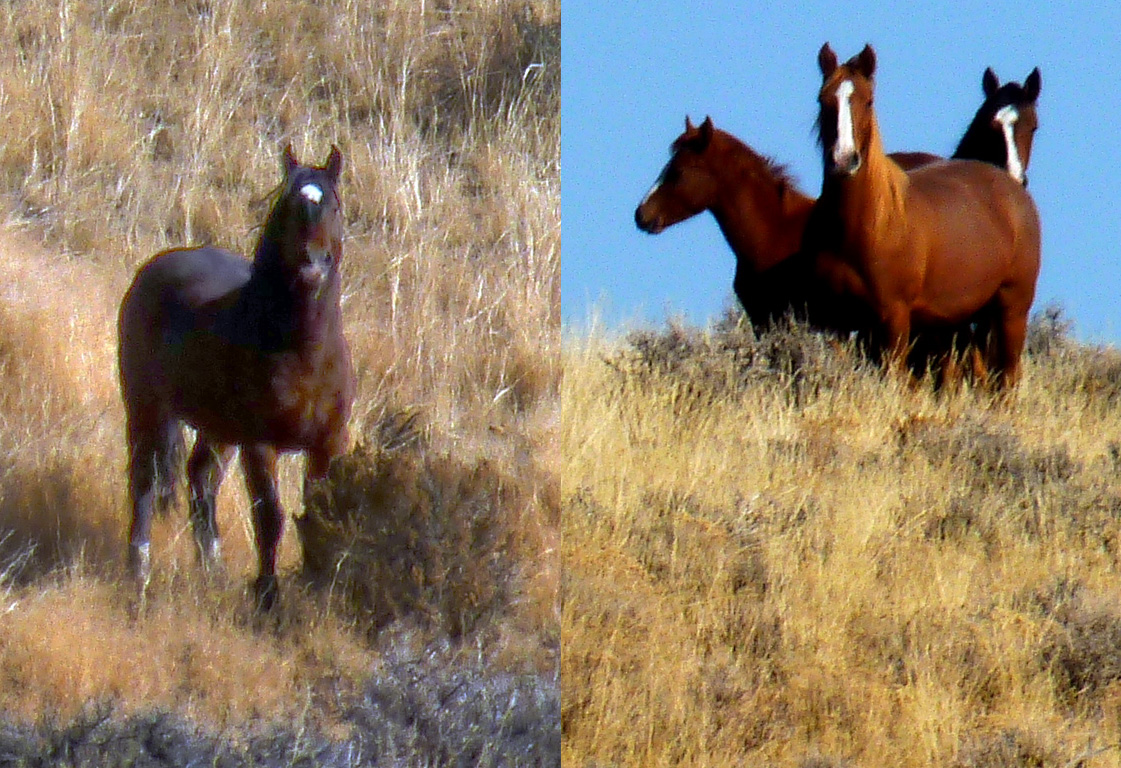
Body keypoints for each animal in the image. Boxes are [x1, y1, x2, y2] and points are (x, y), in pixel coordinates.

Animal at [118, 145, 355, 609]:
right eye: (288, 206)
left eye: (333, 206)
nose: (312, 264)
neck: (305, 353)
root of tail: (155, 267)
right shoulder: (260, 447)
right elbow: (270, 518)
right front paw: (267, 597)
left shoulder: (326, 445)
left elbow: (317, 516)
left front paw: (315, 587)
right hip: (145, 408)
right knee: (144, 480)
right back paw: (139, 570)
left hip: (218, 431)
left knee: (200, 478)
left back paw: (213, 568)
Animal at [810, 43, 1041, 389]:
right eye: (823, 100)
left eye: (868, 100)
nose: (843, 160)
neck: (868, 225)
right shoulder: (837, 321)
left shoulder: (894, 318)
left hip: (1010, 311)